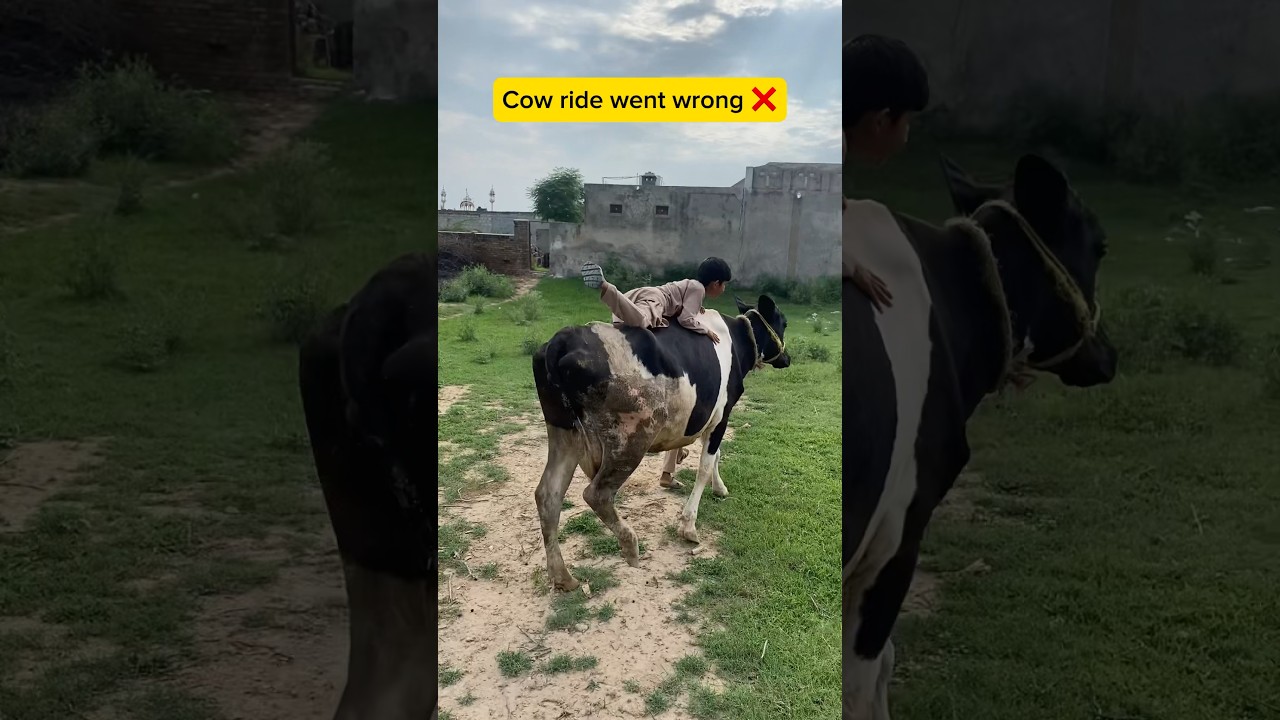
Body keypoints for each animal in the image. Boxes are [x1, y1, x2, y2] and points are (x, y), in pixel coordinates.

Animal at [532, 295, 791, 592]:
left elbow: (713, 456)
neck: (738, 341)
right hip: (632, 437)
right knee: (596, 494)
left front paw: (718, 488)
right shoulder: (722, 414)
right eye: (784, 323)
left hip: (564, 430)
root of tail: (562, 339)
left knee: (548, 494)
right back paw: (630, 545)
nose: (787, 358)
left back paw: (563, 577)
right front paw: (689, 525)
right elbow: (706, 465)